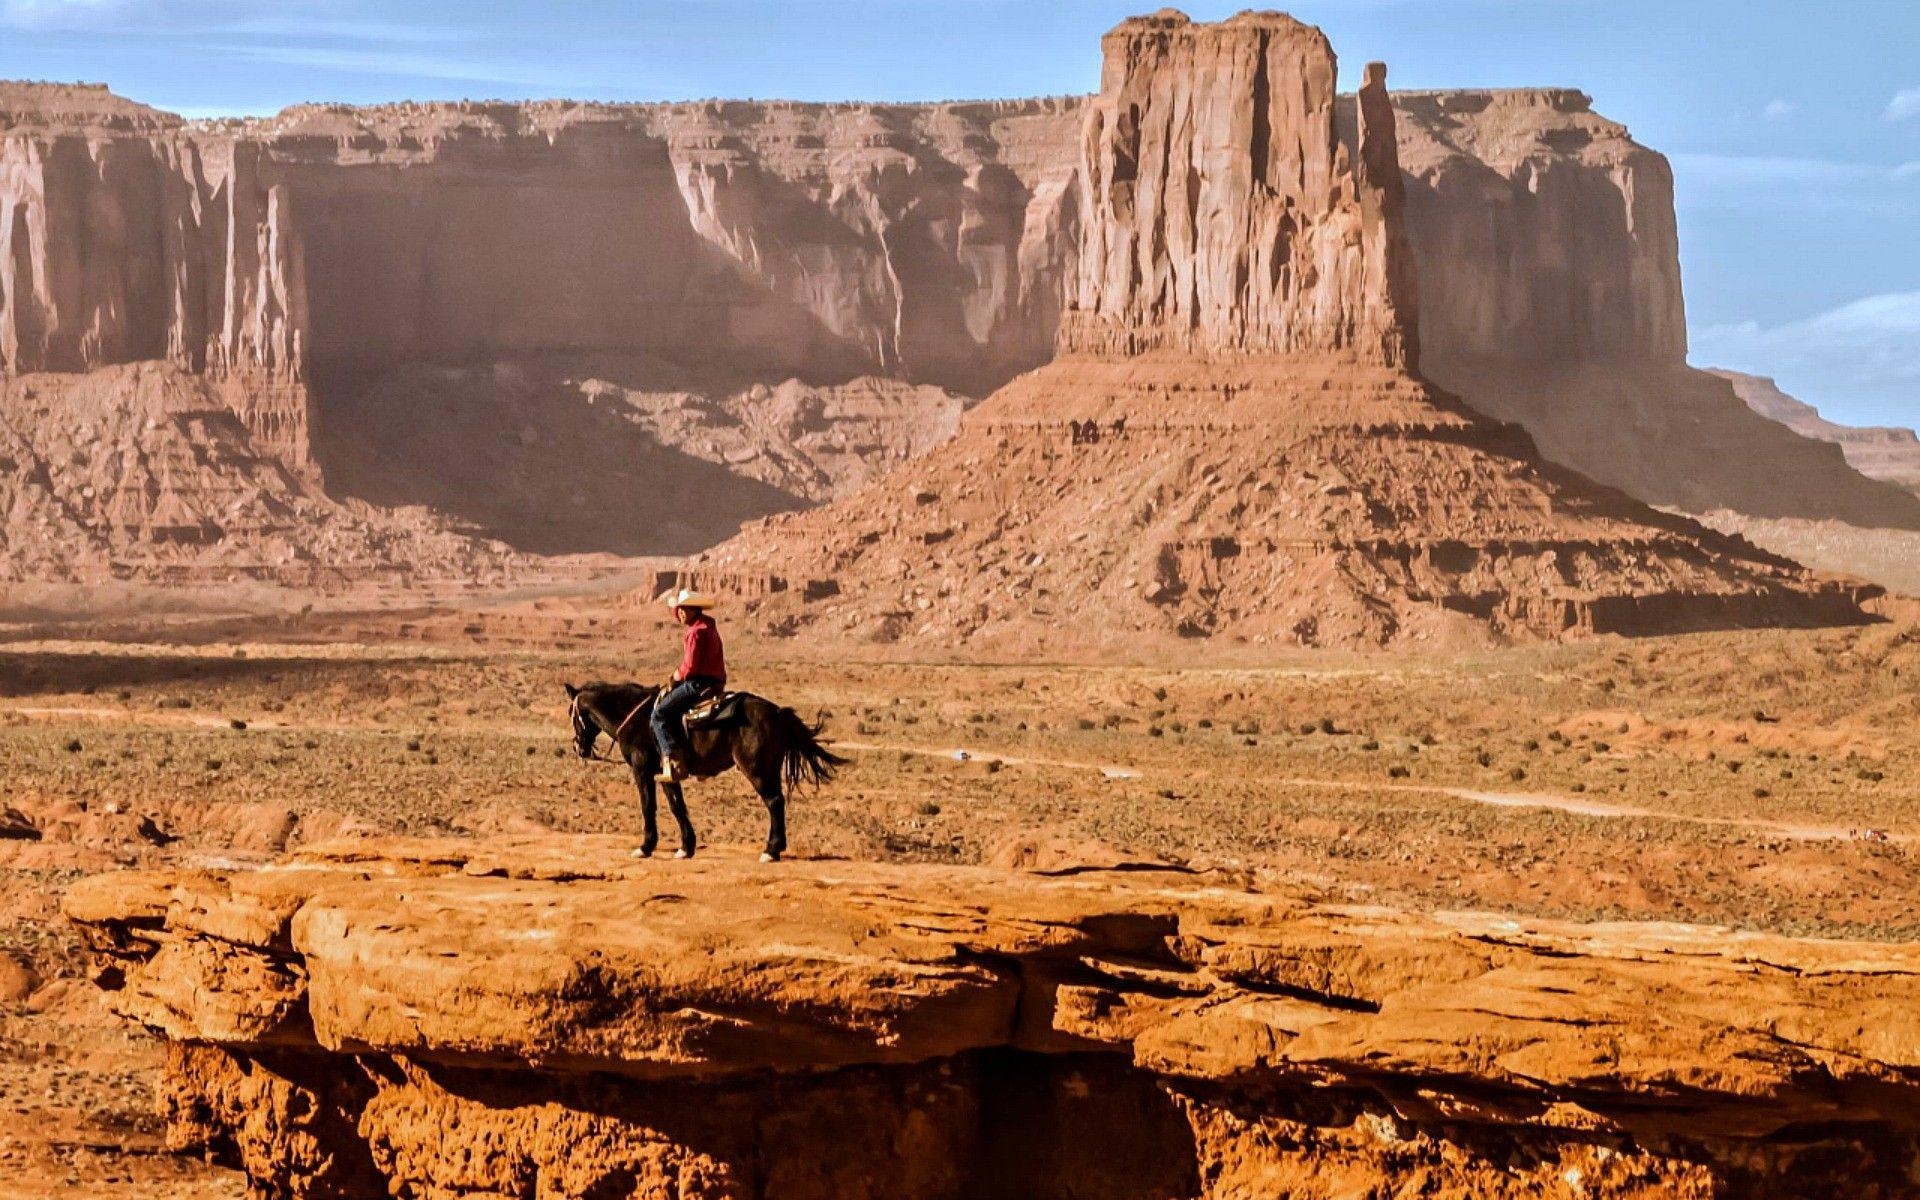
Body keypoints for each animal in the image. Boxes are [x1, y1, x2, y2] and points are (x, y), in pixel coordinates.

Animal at [564, 683, 844, 860]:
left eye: (572, 714)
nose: (579, 748)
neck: (635, 717)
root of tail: (777, 712)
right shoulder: (665, 772)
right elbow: (677, 806)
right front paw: (686, 847)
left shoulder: (642, 769)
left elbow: (648, 806)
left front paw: (645, 847)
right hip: (769, 768)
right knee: (778, 802)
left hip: (757, 769)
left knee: (774, 802)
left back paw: (771, 851)